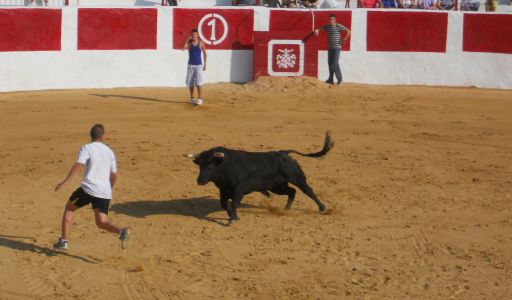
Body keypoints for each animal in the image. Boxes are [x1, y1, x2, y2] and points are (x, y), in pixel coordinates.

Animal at [192, 131, 336, 223]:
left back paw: (322, 208)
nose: (200, 181)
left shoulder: (239, 189)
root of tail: (284, 153)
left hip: (297, 178)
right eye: (200, 166)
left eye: (210, 166)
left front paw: (233, 219)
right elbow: (224, 204)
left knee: (308, 191)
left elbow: (234, 203)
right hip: (276, 186)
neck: (226, 166)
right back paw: (286, 209)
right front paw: (233, 217)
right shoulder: (224, 191)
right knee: (291, 191)